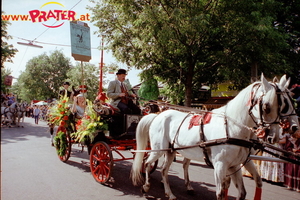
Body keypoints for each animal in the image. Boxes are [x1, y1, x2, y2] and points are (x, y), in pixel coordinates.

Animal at [131, 74, 298, 199]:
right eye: (267, 106)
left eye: (290, 102)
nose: (274, 136)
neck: (233, 127)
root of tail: (158, 115)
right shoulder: (220, 165)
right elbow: (220, 193)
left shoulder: (237, 164)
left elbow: (246, 189)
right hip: (159, 149)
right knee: (147, 163)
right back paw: (146, 187)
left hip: (171, 151)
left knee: (165, 171)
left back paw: (170, 194)